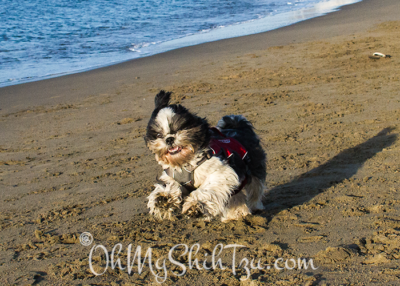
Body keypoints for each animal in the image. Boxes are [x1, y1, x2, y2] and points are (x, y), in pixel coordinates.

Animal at [144, 90, 266, 222]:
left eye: (180, 128)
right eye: (158, 134)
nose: (169, 139)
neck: (186, 163)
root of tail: (237, 127)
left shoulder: (222, 173)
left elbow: (206, 189)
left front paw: (195, 205)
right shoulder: (172, 177)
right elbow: (169, 187)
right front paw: (163, 199)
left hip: (254, 169)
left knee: (255, 190)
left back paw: (255, 207)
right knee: (235, 197)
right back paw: (235, 215)